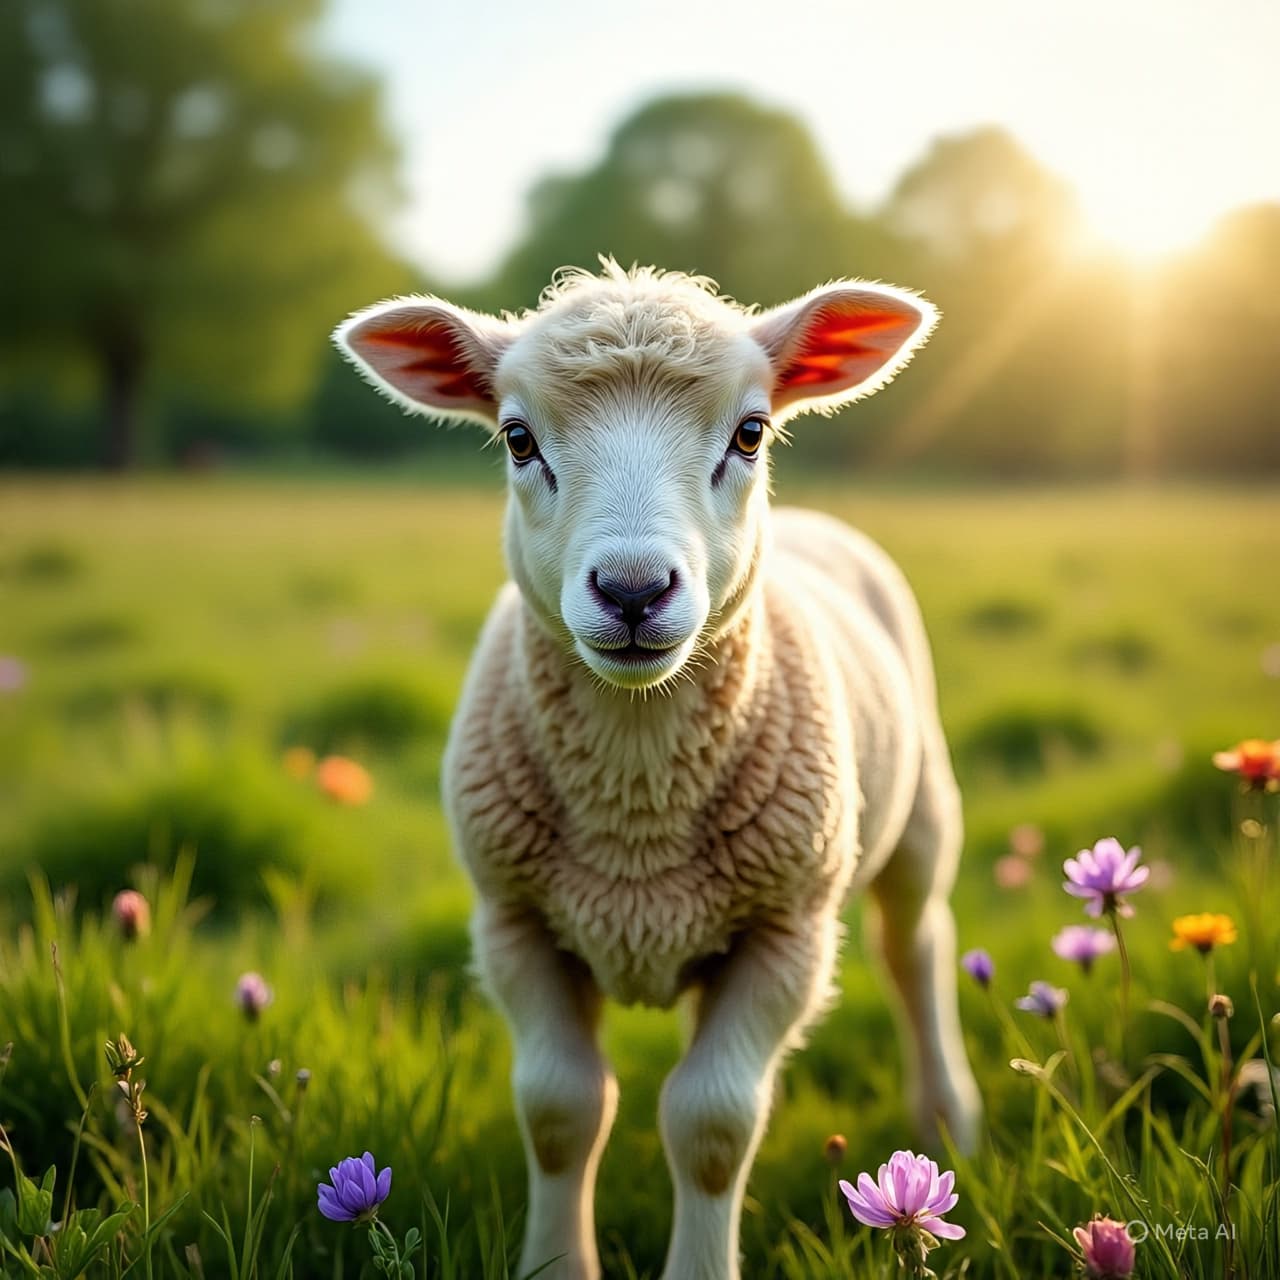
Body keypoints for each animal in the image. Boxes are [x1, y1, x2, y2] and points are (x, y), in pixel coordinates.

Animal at [334, 261, 982, 1280]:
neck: (638, 789)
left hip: (920, 815)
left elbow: (711, 1124)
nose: (634, 592)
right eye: (517, 439)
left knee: (914, 947)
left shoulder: (787, 931)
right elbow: (560, 1110)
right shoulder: (512, 921)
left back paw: (947, 1115)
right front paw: (557, 1264)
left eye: (750, 432)